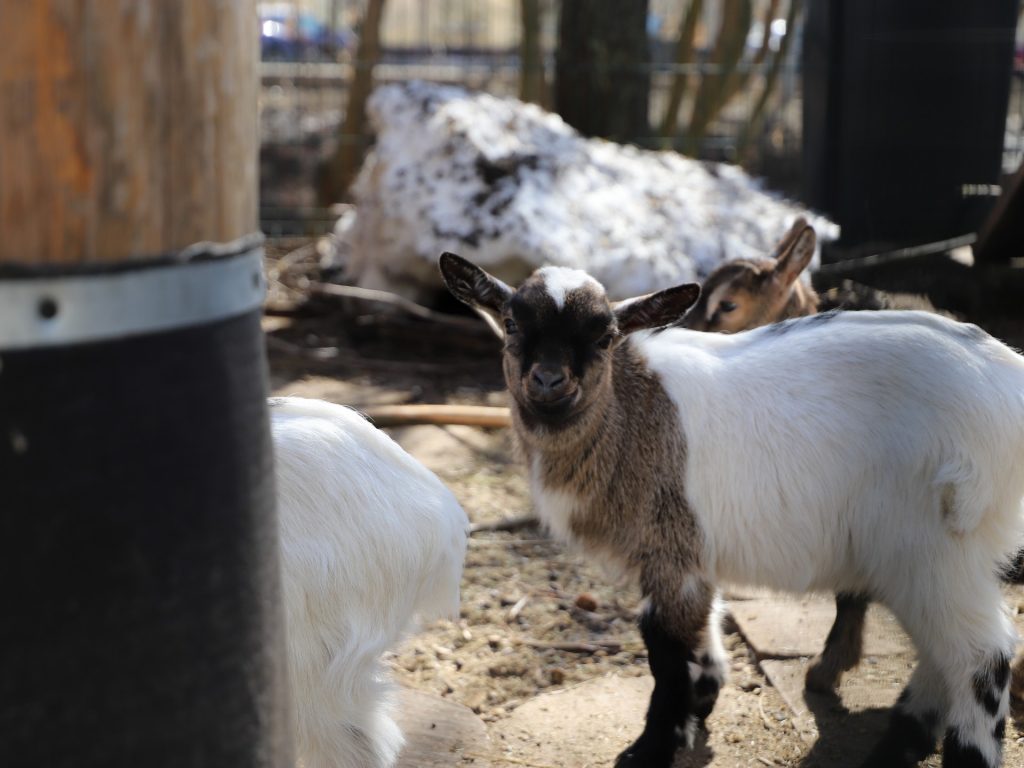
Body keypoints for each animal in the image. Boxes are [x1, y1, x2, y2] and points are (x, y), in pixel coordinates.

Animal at [440, 252, 1024, 768]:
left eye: (604, 336)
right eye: (511, 323)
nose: (548, 381)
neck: (629, 414)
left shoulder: (672, 549)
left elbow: (665, 651)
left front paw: (651, 748)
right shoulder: (693, 555)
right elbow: (705, 626)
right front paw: (704, 699)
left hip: (935, 544)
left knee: (982, 654)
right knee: (943, 652)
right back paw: (897, 744)